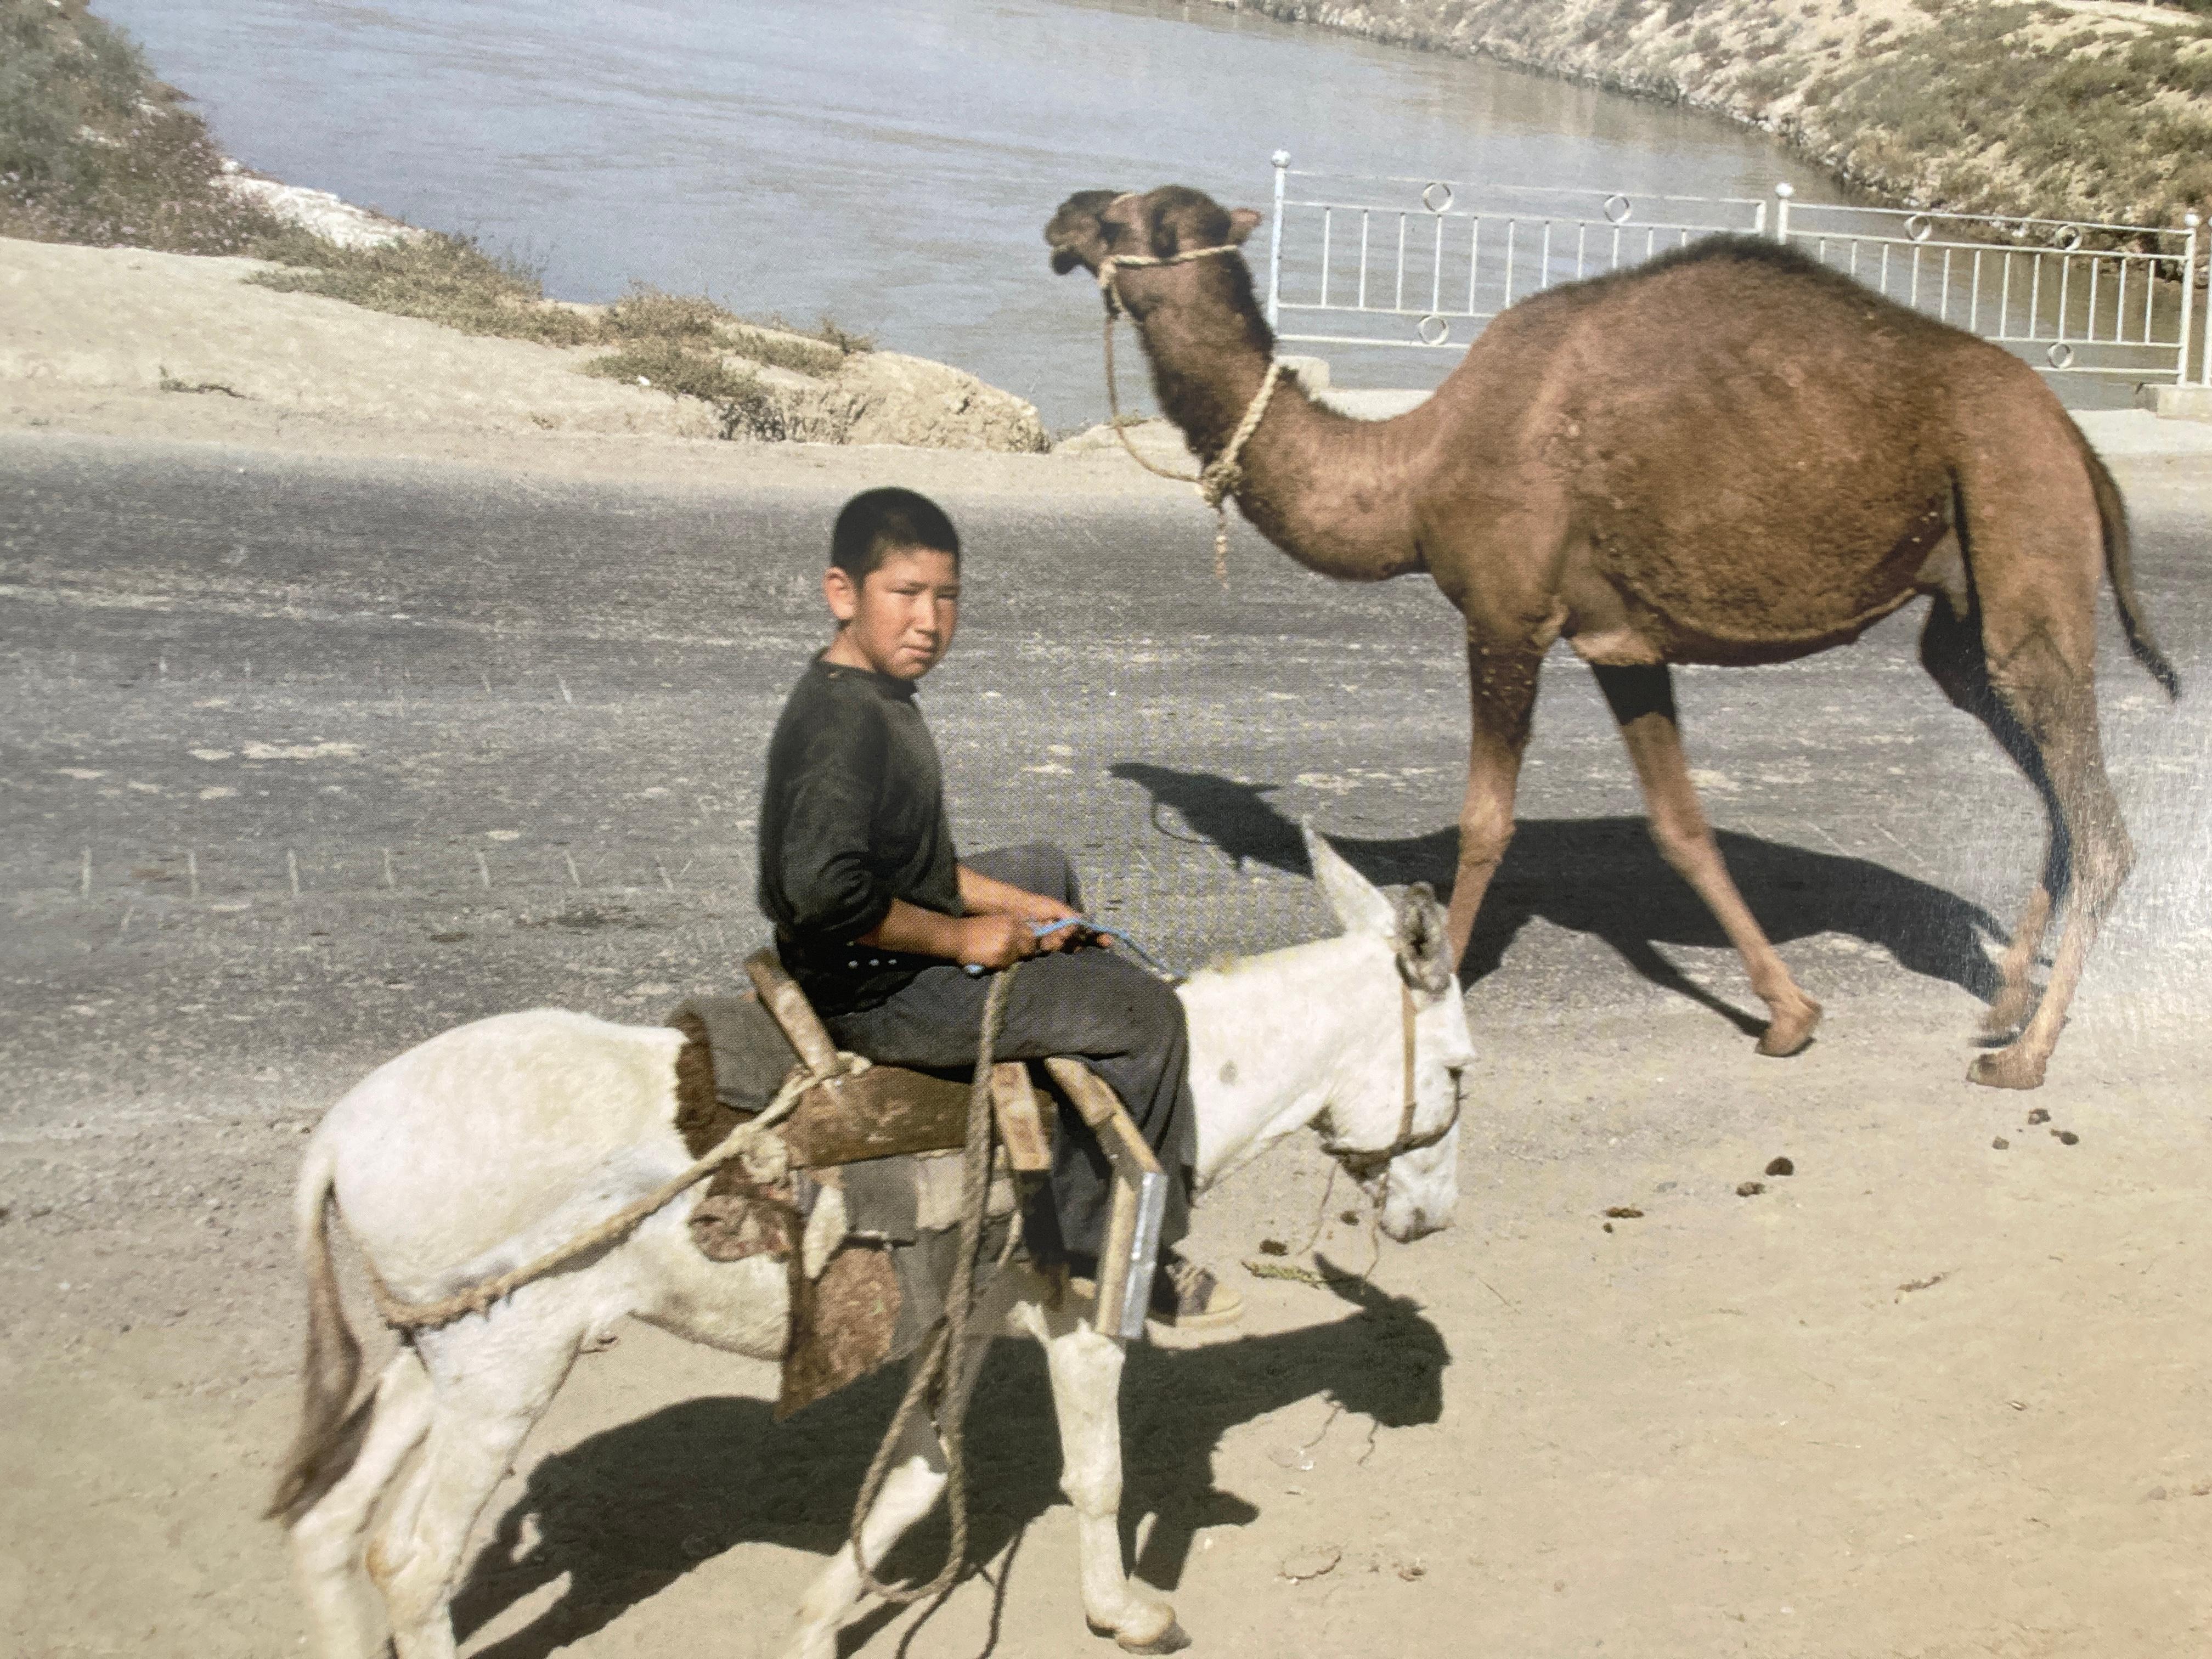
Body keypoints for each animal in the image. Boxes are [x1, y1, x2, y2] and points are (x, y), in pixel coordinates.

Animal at [1048, 184, 2176, 1092]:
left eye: (1126, 219)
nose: (1063, 217)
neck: (1413, 469)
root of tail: (2074, 437)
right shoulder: (1623, 645)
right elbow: (1680, 826)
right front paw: (1790, 1016)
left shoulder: (1506, 616)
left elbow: (1483, 823)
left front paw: (1431, 997)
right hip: (1961, 613)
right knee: (2045, 782)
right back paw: (1999, 1007)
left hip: (2018, 508)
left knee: (2101, 827)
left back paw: (2025, 1057)